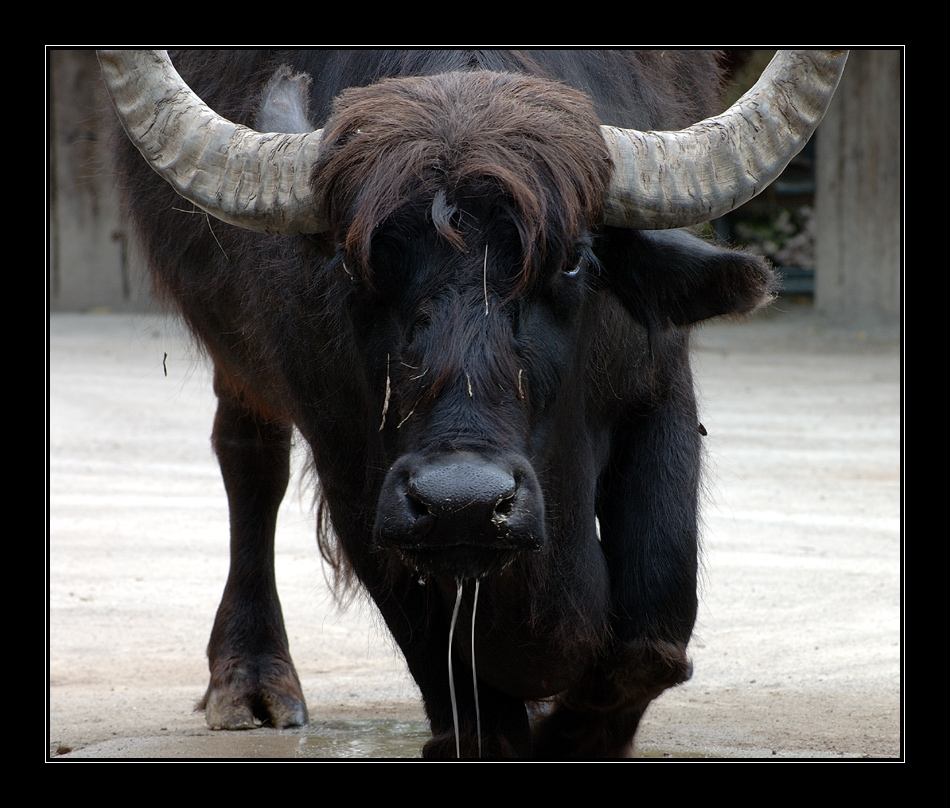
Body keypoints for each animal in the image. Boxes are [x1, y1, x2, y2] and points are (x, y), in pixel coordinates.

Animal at [102, 50, 848, 756]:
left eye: (574, 262)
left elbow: (652, 634)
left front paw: (574, 735)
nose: (462, 500)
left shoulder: (657, 388)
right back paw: (252, 680)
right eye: (353, 267)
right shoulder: (358, 471)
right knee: (251, 461)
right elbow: (457, 680)